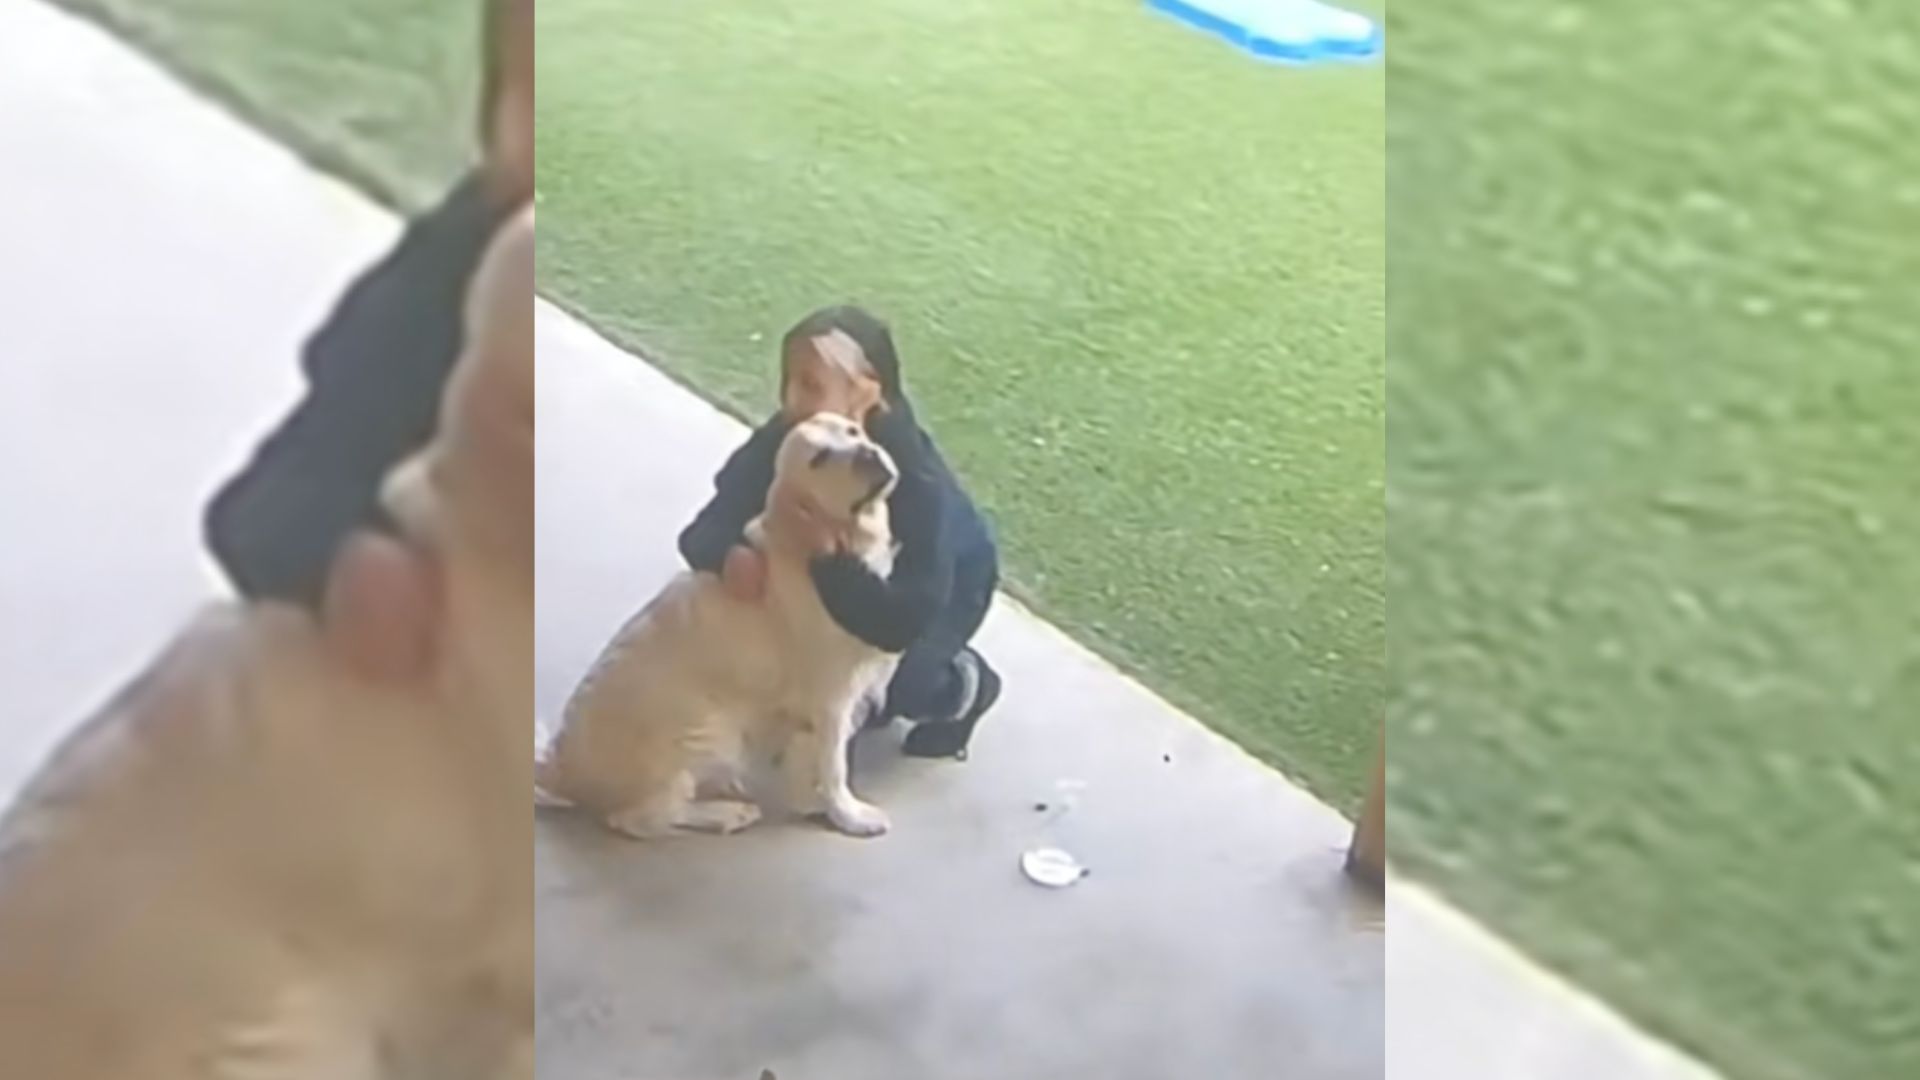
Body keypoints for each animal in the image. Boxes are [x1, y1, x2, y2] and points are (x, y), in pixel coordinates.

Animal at [537, 411, 902, 841]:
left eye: (853, 431)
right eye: (819, 458)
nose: (869, 453)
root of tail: (558, 769)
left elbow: (806, 759)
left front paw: (812, 802)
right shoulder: (832, 697)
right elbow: (834, 767)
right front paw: (850, 815)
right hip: (710, 732)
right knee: (640, 819)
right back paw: (726, 813)